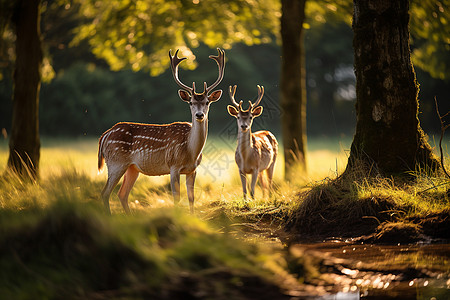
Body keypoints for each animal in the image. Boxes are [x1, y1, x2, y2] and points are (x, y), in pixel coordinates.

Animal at [98, 48, 225, 213]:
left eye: (207, 102)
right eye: (191, 102)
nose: (199, 115)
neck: (191, 151)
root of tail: (105, 135)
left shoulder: (193, 170)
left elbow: (191, 198)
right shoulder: (173, 165)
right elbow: (176, 197)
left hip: (132, 167)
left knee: (122, 194)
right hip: (115, 161)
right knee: (105, 193)